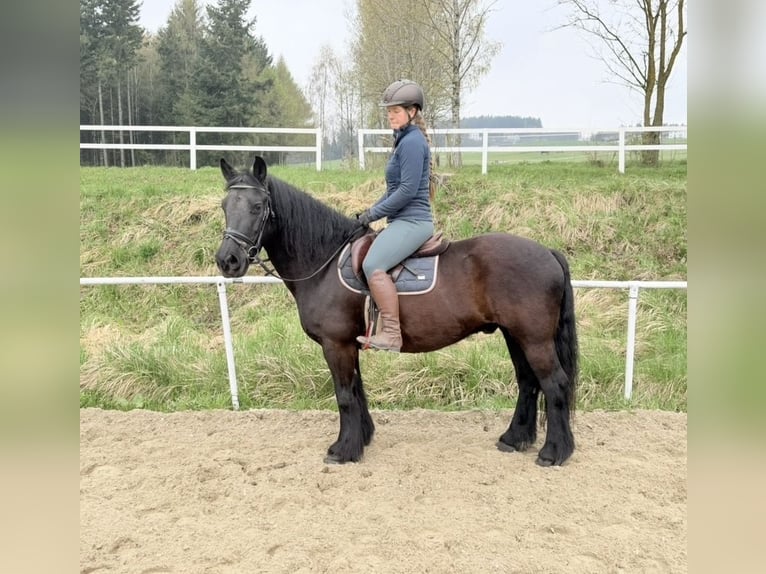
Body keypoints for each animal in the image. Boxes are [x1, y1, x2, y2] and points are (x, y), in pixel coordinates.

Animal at [215, 156, 579, 466]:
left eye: (258, 206)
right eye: (224, 206)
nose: (227, 260)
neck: (325, 262)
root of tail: (547, 251)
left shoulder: (336, 344)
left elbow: (344, 395)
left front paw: (343, 450)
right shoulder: (349, 344)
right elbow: (357, 392)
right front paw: (361, 439)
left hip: (534, 339)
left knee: (555, 384)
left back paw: (553, 452)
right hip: (514, 335)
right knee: (528, 382)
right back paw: (514, 438)